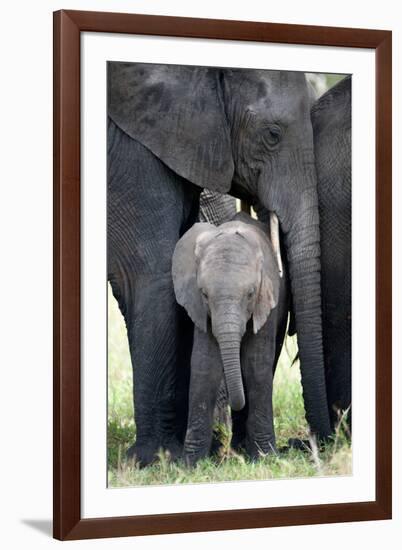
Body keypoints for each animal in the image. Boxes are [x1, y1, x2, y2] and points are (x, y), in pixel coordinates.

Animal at [173, 211, 288, 466]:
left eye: (251, 293)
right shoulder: (200, 308)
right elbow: (205, 365)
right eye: (204, 294)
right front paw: (190, 465)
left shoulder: (267, 301)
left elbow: (256, 366)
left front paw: (265, 458)